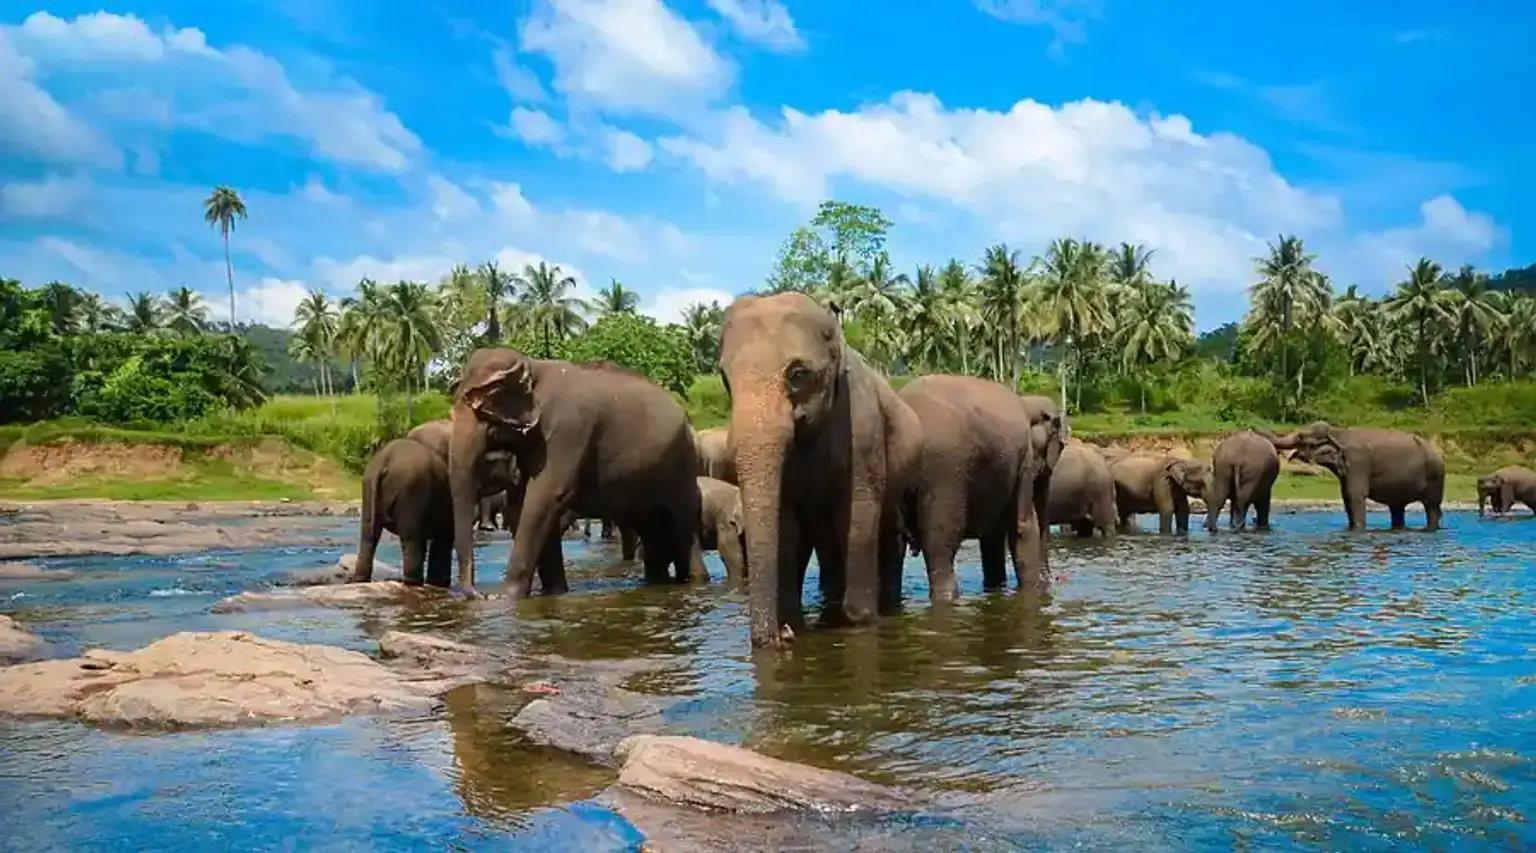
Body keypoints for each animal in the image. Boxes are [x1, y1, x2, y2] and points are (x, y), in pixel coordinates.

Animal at [352, 438, 453, 587]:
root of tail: (385, 459)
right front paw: (438, 583)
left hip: (368, 485)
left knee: (368, 534)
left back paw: (361, 580)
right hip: (411, 489)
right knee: (410, 537)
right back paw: (413, 583)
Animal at [448, 350, 704, 598]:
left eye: (483, 407)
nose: (479, 594)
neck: (533, 366)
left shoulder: (569, 430)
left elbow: (544, 498)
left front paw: (504, 597)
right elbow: (523, 504)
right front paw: (554, 592)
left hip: (683, 464)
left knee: (683, 527)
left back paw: (696, 581)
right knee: (652, 531)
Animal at [718, 292, 923, 647]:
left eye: (797, 374)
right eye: (724, 379)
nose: (781, 636)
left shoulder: (863, 431)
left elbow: (858, 516)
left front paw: (859, 621)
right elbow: (786, 525)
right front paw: (794, 623)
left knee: (887, 536)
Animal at [1283, 422, 1445, 531]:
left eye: (1301, 437)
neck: (1338, 432)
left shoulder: (1357, 462)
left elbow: (1355, 495)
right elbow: (1346, 496)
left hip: (1435, 477)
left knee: (1432, 507)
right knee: (1397, 508)